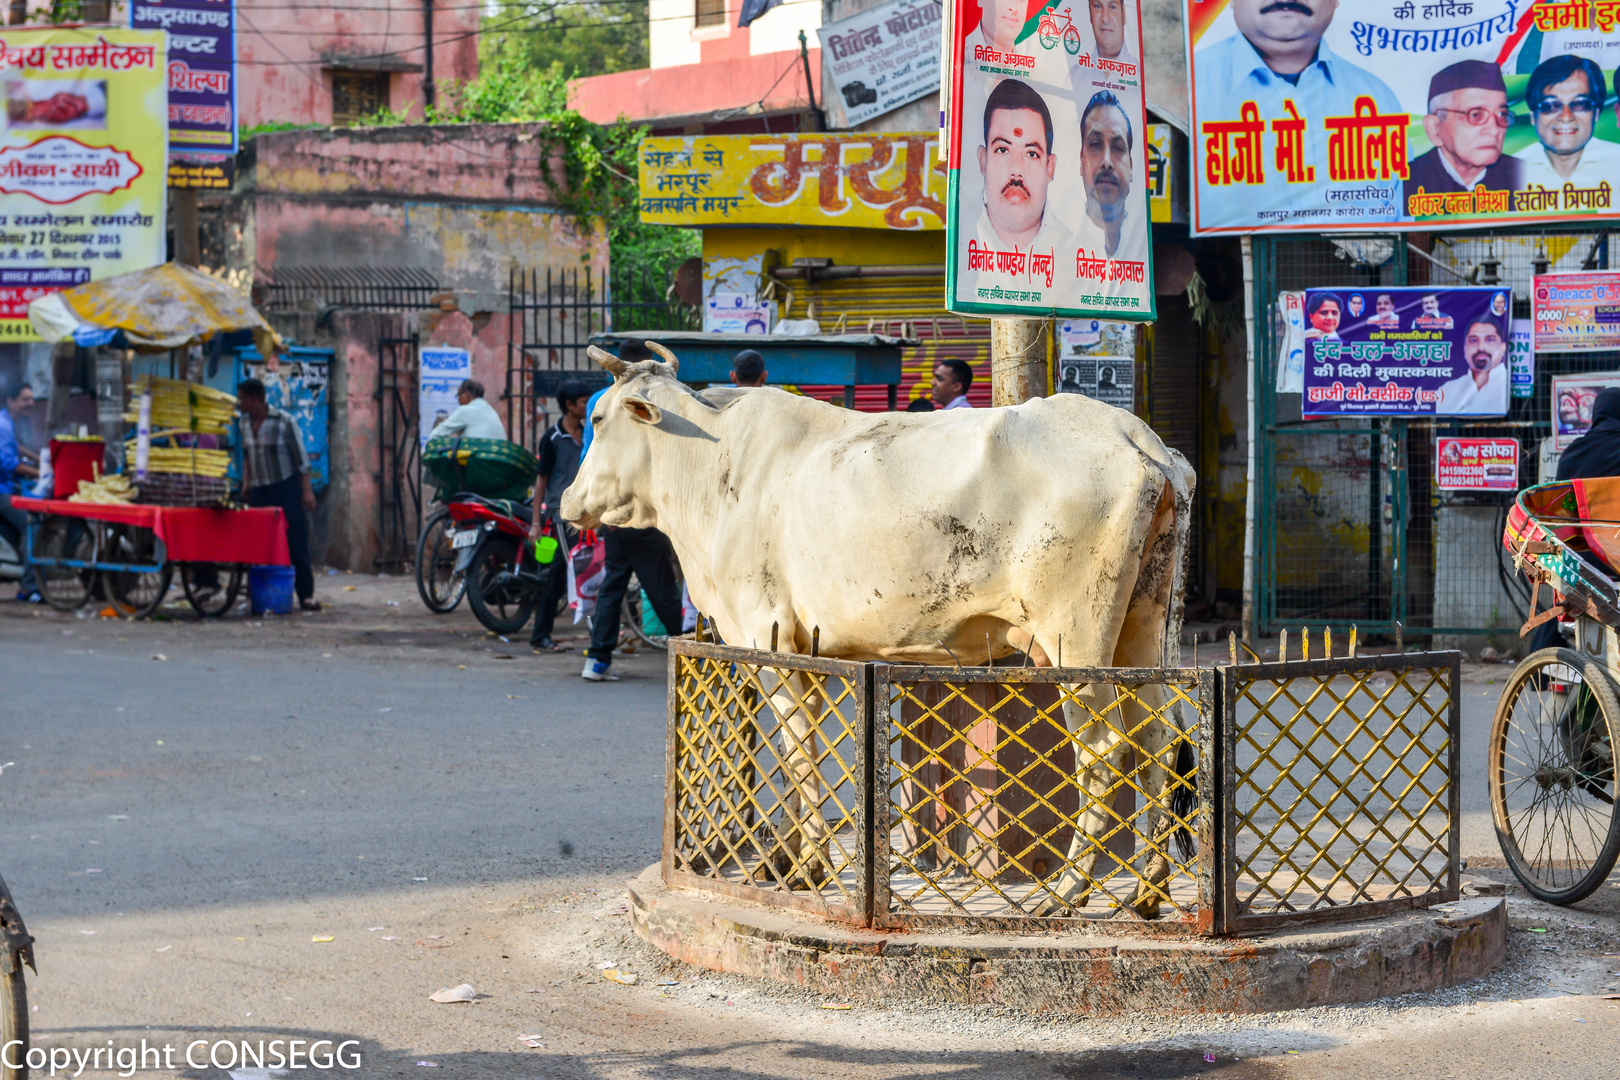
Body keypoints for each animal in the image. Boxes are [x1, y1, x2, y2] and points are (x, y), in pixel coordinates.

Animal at [563, 341, 1198, 919]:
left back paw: (1068, 892)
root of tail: (1140, 442)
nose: (568, 501)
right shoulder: (806, 649)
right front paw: (792, 864)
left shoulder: (765, 634)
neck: (712, 467)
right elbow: (803, 751)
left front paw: (810, 868)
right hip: (1143, 626)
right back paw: (1150, 890)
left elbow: (797, 753)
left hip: (1075, 638)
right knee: (1158, 738)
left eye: (599, 420)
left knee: (1105, 748)